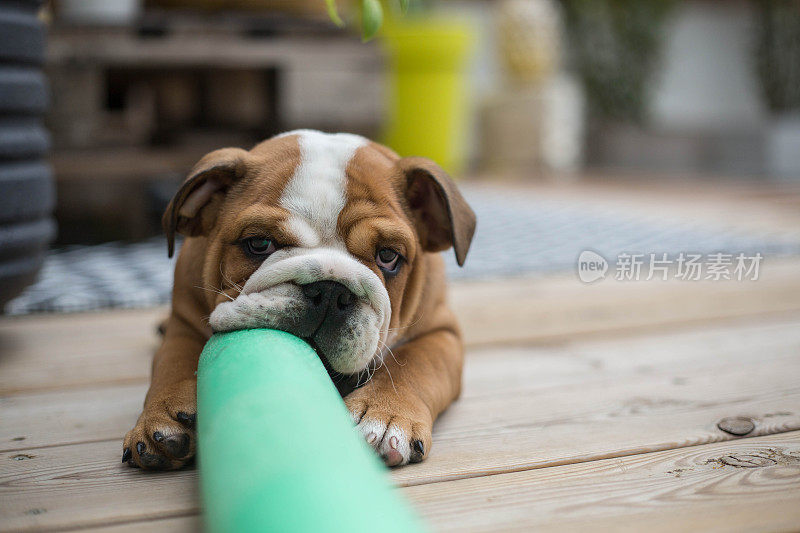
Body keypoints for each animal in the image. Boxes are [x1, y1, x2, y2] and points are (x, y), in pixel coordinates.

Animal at [122, 130, 476, 470]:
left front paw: (385, 417)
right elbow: (173, 362)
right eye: (259, 243)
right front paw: (163, 415)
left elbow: (414, 366)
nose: (330, 291)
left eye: (388, 256)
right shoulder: (183, 322)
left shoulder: (440, 332)